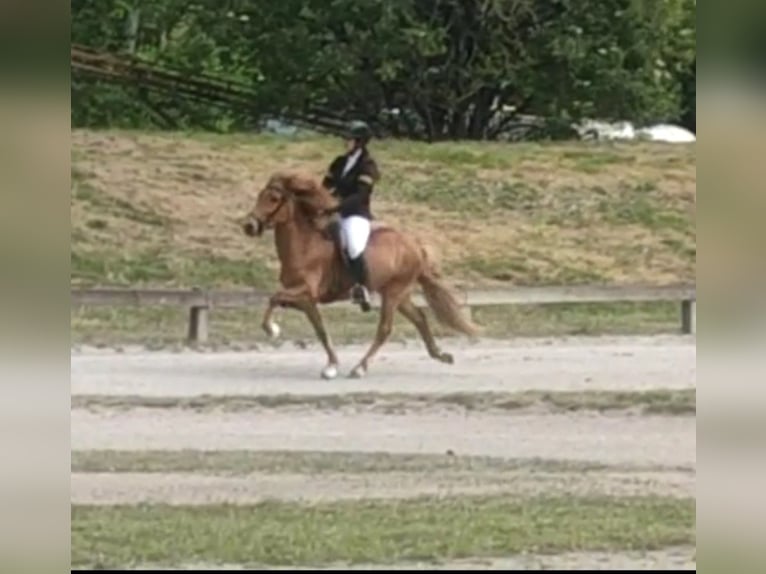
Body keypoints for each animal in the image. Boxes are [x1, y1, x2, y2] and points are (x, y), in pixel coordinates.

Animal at [242, 170, 480, 378]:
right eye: (260, 196)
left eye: (273, 198)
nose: (249, 226)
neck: (305, 245)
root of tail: (414, 245)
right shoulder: (306, 300)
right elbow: (320, 330)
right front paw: (331, 366)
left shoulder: (305, 291)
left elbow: (274, 298)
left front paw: (272, 330)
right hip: (400, 294)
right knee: (419, 318)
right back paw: (440, 355)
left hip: (393, 293)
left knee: (385, 329)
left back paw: (360, 368)